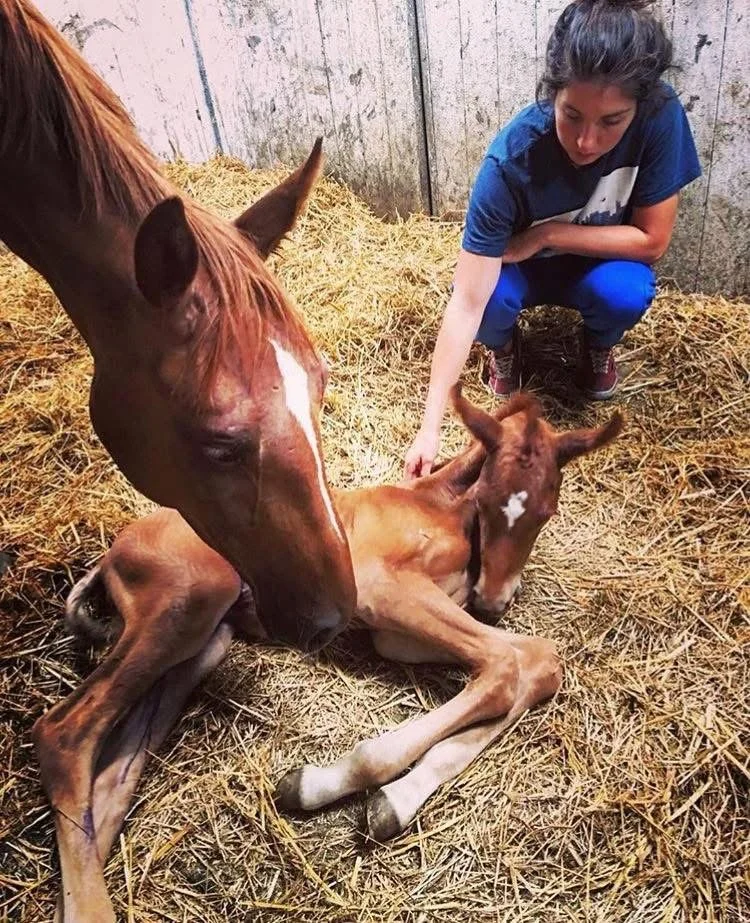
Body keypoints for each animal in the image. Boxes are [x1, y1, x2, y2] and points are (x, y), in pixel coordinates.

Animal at [33, 385, 622, 921]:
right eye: (488, 500)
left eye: (547, 511)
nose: (495, 601)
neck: (438, 503)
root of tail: (114, 550)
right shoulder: (380, 589)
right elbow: (503, 669)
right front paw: (328, 786)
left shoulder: (411, 624)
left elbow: (533, 663)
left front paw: (395, 801)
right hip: (189, 600)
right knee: (63, 731)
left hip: (204, 644)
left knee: (109, 777)